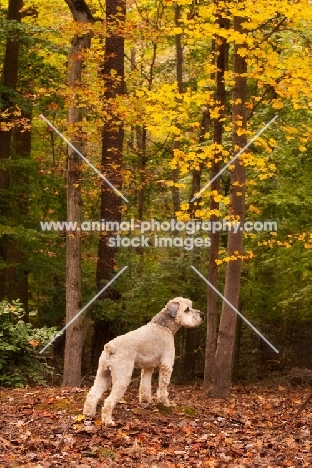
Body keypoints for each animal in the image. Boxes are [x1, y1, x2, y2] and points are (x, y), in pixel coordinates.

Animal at [83, 298, 205, 426]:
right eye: (187, 309)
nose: (202, 315)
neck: (164, 327)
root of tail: (110, 347)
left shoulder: (148, 368)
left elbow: (145, 386)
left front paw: (146, 401)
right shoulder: (166, 365)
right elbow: (163, 387)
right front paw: (165, 403)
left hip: (103, 374)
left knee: (92, 394)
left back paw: (88, 413)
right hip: (122, 379)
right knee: (108, 401)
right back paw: (108, 421)